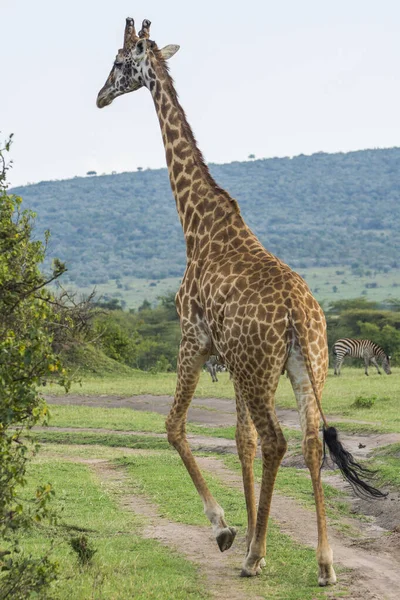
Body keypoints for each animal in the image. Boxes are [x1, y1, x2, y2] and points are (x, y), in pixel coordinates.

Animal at [96, 17, 384, 584]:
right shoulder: (230, 360)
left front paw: (229, 531)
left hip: (259, 367)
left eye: (119, 63)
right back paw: (324, 564)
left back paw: (254, 559)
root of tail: (297, 315)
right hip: (305, 365)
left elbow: (175, 426)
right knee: (310, 441)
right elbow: (239, 440)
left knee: (277, 440)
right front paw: (253, 535)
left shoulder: (194, 340)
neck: (198, 225)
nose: (98, 96)